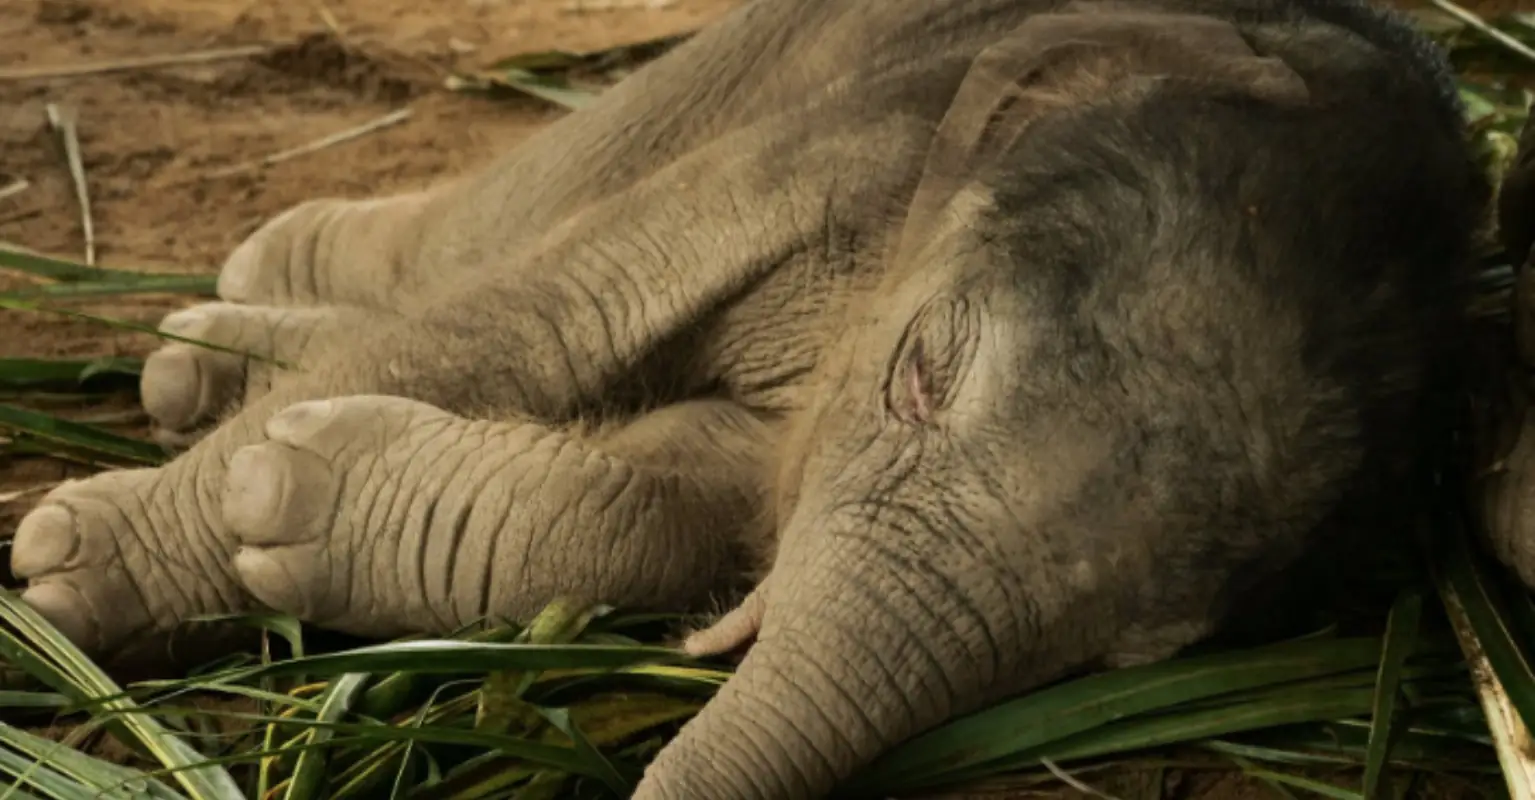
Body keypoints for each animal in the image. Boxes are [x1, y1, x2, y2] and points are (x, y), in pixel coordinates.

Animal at [7, 0, 1490, 796]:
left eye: (1135, 653)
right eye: (918, 376)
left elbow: (690, 499)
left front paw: (289, 494)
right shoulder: (861, 132)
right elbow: (543, 323)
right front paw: (71, 575)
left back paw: (202, 359)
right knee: (500, 220)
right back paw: (240, 306)